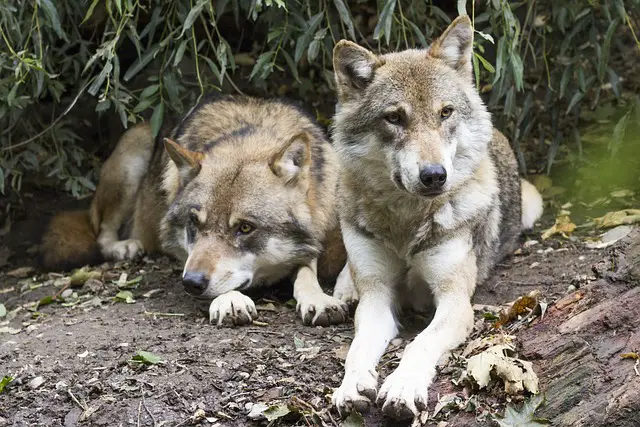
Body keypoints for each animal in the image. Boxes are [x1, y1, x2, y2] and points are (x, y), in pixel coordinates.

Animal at [40, 95, 351, 327]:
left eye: (245, 228)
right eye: (194, 223)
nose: (191, 283)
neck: (252, 133)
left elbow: (307, 269)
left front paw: (318, 299)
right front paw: (231, 300)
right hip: (133, 155)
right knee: (102, 232)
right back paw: (124, 247)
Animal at [329, 16, 544, 419]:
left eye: (445, 112)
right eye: (394, 117)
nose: (434, 176)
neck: (405, 222)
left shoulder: (455, 301)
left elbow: (420, 344)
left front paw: (402, 387)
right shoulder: (377, 298)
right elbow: (357, 349)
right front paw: (351, 387)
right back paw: (343, 290)